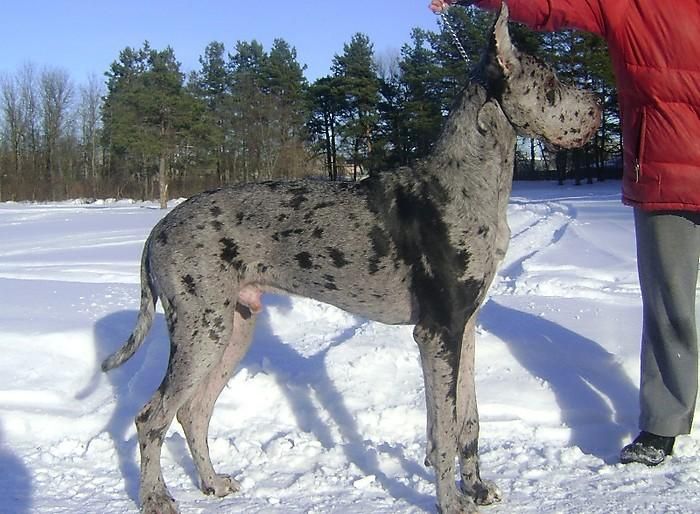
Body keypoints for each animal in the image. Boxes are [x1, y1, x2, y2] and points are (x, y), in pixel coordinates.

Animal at [102, 5, 601, 513]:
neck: (469, 182)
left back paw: (211, 482)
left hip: (232, 328)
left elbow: (469, 420)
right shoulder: (437, 334)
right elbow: (442, 430)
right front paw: (450, 501)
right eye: (551, 82)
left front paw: (477, 488)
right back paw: (156, 498)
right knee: (151, 417)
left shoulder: (466, 327)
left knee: (193, 411)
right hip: (202, 330)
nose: (598, 108)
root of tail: (158, 229)